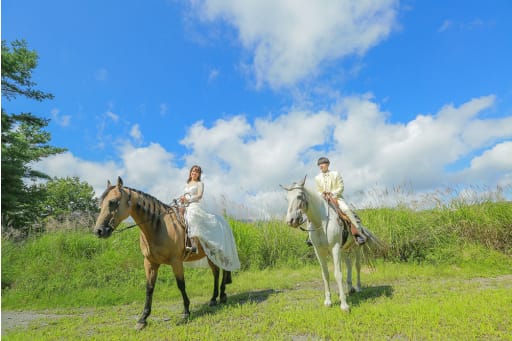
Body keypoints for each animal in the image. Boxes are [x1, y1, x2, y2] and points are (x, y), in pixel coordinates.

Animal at [93, 177, 233, 328]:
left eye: (113, 202)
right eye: (101, 203)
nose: (98, 231)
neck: (158, 227)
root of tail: (224, 222)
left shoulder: (176, 261)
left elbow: (181, 285)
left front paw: (186, 312)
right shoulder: (150, 262)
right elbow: (149, 288)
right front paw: (143, 319)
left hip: (220, 253)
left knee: (224, 270)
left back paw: (222, 296)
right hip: (210, 255)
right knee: (216, 272)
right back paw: (213, 299)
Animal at [284, 177, 364, 312]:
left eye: (299, 196)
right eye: (287, 198)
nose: (291, 221)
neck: (320, 221)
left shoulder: (335, 248)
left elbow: (338, 274)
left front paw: (344, 305)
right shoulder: (319, 251)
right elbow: (325, 274)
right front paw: (328, 301)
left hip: (356, 247)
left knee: (357, 265)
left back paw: (358, 287)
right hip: (343, 250)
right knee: (349, 264)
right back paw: (350, 288)